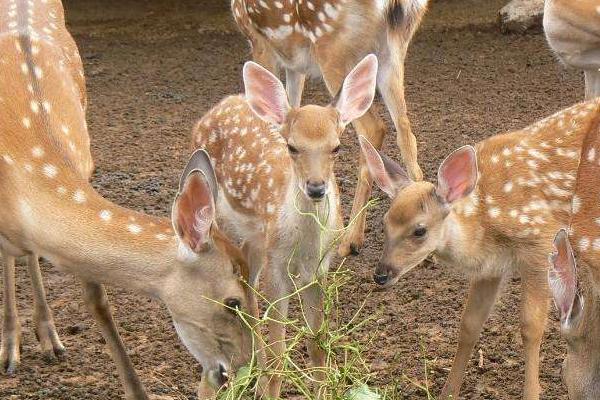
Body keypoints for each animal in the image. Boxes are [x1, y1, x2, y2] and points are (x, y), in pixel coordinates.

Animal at [0, 0, 255, 400]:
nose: (247, 369)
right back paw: (13, 344)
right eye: (233, 302)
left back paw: (48, 336)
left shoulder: (84, 168)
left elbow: (96, 298)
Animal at [192, 54, 380, 398]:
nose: (316, 187)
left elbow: (318, 344)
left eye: (336, 147)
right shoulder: (276, 263)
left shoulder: (319, 267)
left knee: (247, 286)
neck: (302, 243)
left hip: (255, 238)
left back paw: (255, 372)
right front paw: (271, 385)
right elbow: (280, 352)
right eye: (292, 147)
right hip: (220, 218)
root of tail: (223, 103)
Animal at [229, 0, 426, 256]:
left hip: (333, 49)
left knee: (373, 127)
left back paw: (348, 240)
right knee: (405, 131)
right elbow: (290, 108)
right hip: (392, 51)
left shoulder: (259, 40)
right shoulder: (293, 61)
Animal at [358, 97, 600, 400]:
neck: (483, 223)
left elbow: (531, 326)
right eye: (384, 222)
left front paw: (532, 392)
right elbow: (469, 324)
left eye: (419, 230)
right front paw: (448, 393)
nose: (381, 274)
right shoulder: (490, 267)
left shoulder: (539, 240)